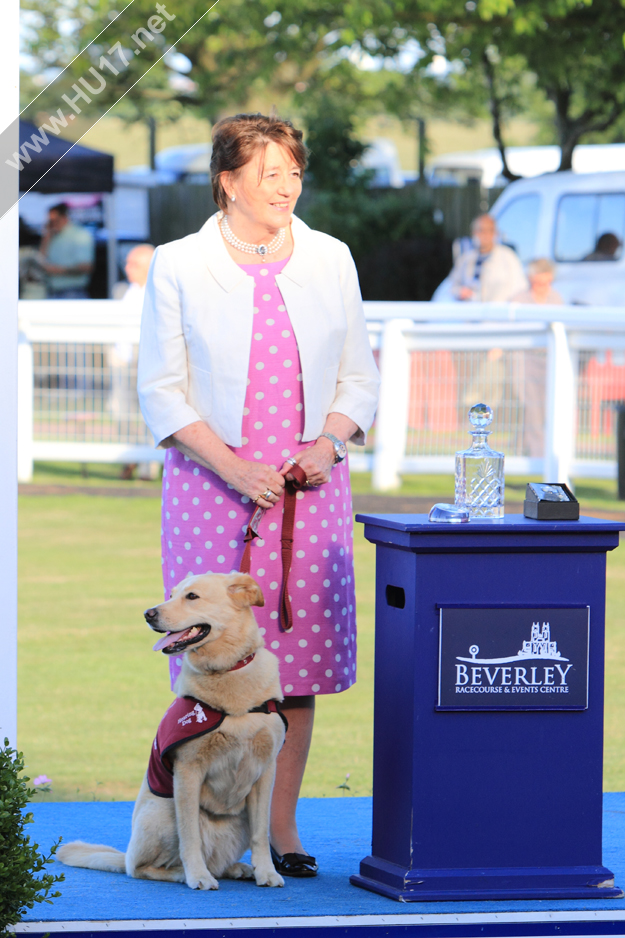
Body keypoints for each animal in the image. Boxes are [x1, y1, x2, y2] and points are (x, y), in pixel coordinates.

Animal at [57, 568, 286, 888]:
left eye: (192, 596)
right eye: (171, 594)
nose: (147, 614)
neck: (225, 673)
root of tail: (125, 855)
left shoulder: (265, 771)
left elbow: (261, 833)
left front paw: (267, 872)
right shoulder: (188, 771)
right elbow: (190, 837)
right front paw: (197, 876)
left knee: (218, 861)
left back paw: (237, 868)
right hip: (162, 812)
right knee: (142, 868)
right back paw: (183, 873)